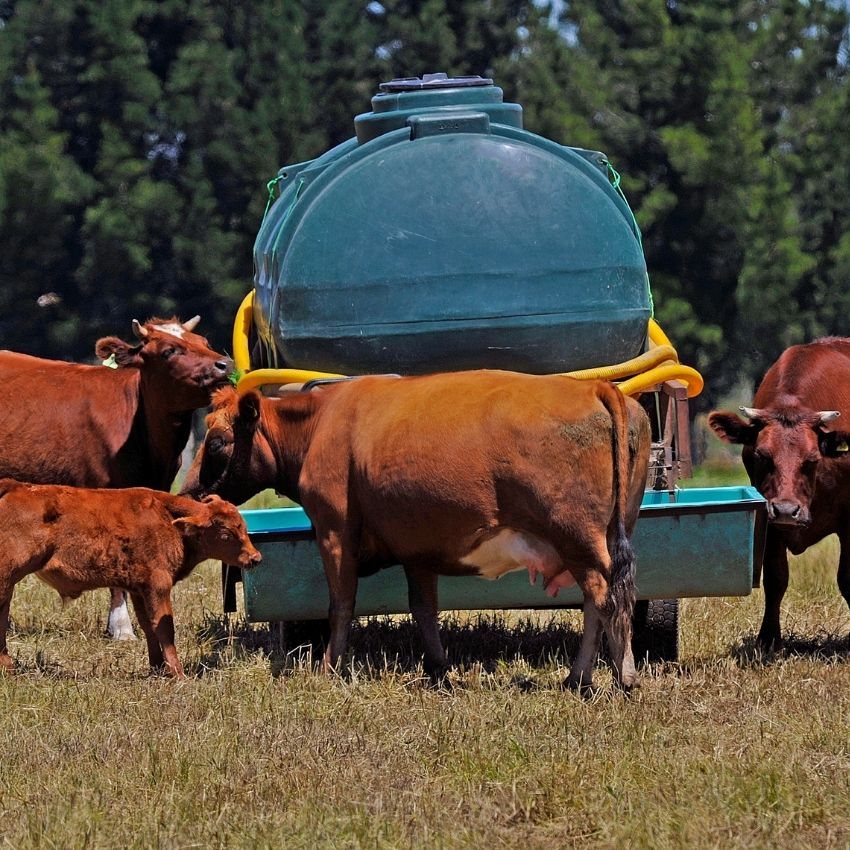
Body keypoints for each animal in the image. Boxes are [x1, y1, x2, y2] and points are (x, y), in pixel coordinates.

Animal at [0, 479, 261, 678]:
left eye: (243, 526)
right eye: (226, 533)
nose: (255, 557)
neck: (167, 518)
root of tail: (16, 486)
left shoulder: (139, 589)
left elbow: (149, 626)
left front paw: (157, 667)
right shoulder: (158, 584)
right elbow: (164, 627)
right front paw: (177, 674)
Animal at [183, 371, 651, 691]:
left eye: (218, 441)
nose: (189, 491)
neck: (322, 423)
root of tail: (595, 388)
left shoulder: (334, 531)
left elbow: (341, 603)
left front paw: (330, 667)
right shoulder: (416, 548)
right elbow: (423, 608)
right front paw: (439, 670)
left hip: (577, 537)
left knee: (603, 596)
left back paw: (607, 677)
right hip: (611, 532)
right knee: (606, 597)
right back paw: (590, 675)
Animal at [708, 337, 850, 651]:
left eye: (812, 459)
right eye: (762, 456)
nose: (787, 510)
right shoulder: (768, 520)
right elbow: (775, 578)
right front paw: (769, 638)